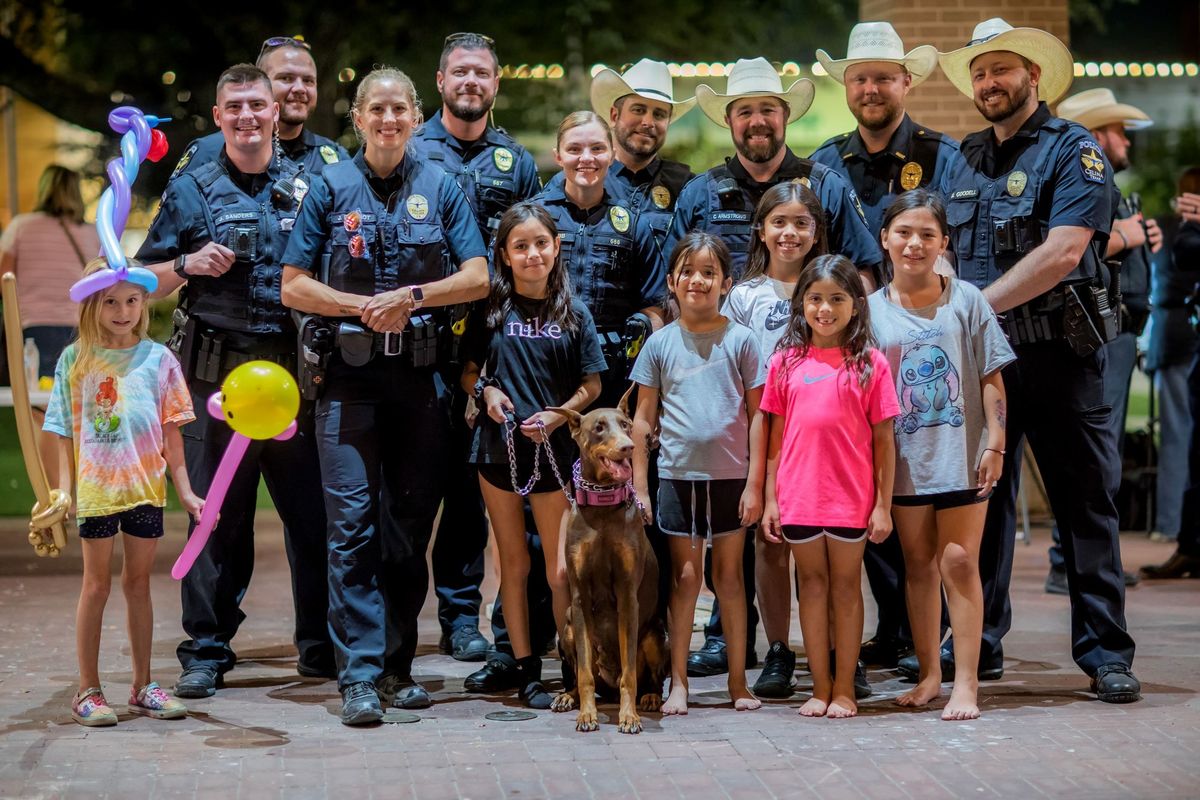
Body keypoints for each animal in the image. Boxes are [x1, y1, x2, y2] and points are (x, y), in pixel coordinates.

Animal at [549, 391, 672, 734]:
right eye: (599, 427)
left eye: (626, 425)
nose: (628, 446)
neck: (603, 505)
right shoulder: (579, 598)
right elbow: (584, 674)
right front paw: (587, 714)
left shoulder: (628, 596)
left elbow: (630, 674)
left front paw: (629, 717)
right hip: (566, 627)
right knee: (584, 672)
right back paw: (567, 696)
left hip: (656, 634)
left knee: (649, 678)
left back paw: (649, 698)